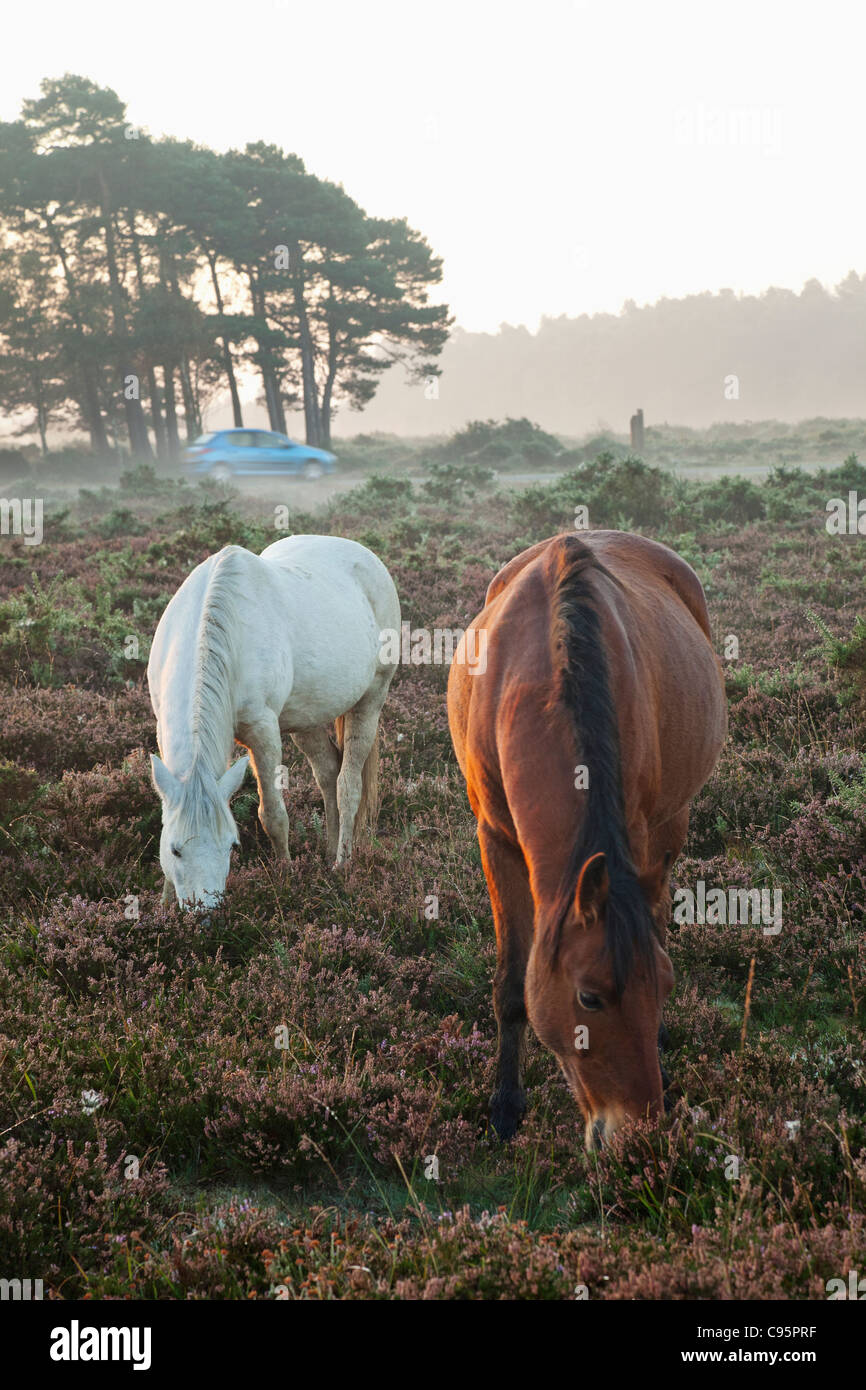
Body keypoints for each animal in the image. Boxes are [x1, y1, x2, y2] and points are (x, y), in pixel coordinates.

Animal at [146, 528, 403, 900]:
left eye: (231, 845)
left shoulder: (262, 732)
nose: (202, 909)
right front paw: (164, 904)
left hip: (371, 700)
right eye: (175, 849)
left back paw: (342, 863)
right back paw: (328, 853)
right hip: (305, 719)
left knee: (347, 784)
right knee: (328, 772)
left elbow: (272, 814)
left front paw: (285, 876)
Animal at [447, 525, 722, 1145]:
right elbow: (511, 983)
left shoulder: (638, 833)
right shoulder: (495, 840)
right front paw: (506, 1105)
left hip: (670, 822)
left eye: (666, 987)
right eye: (589, 998)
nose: (641, 1135)